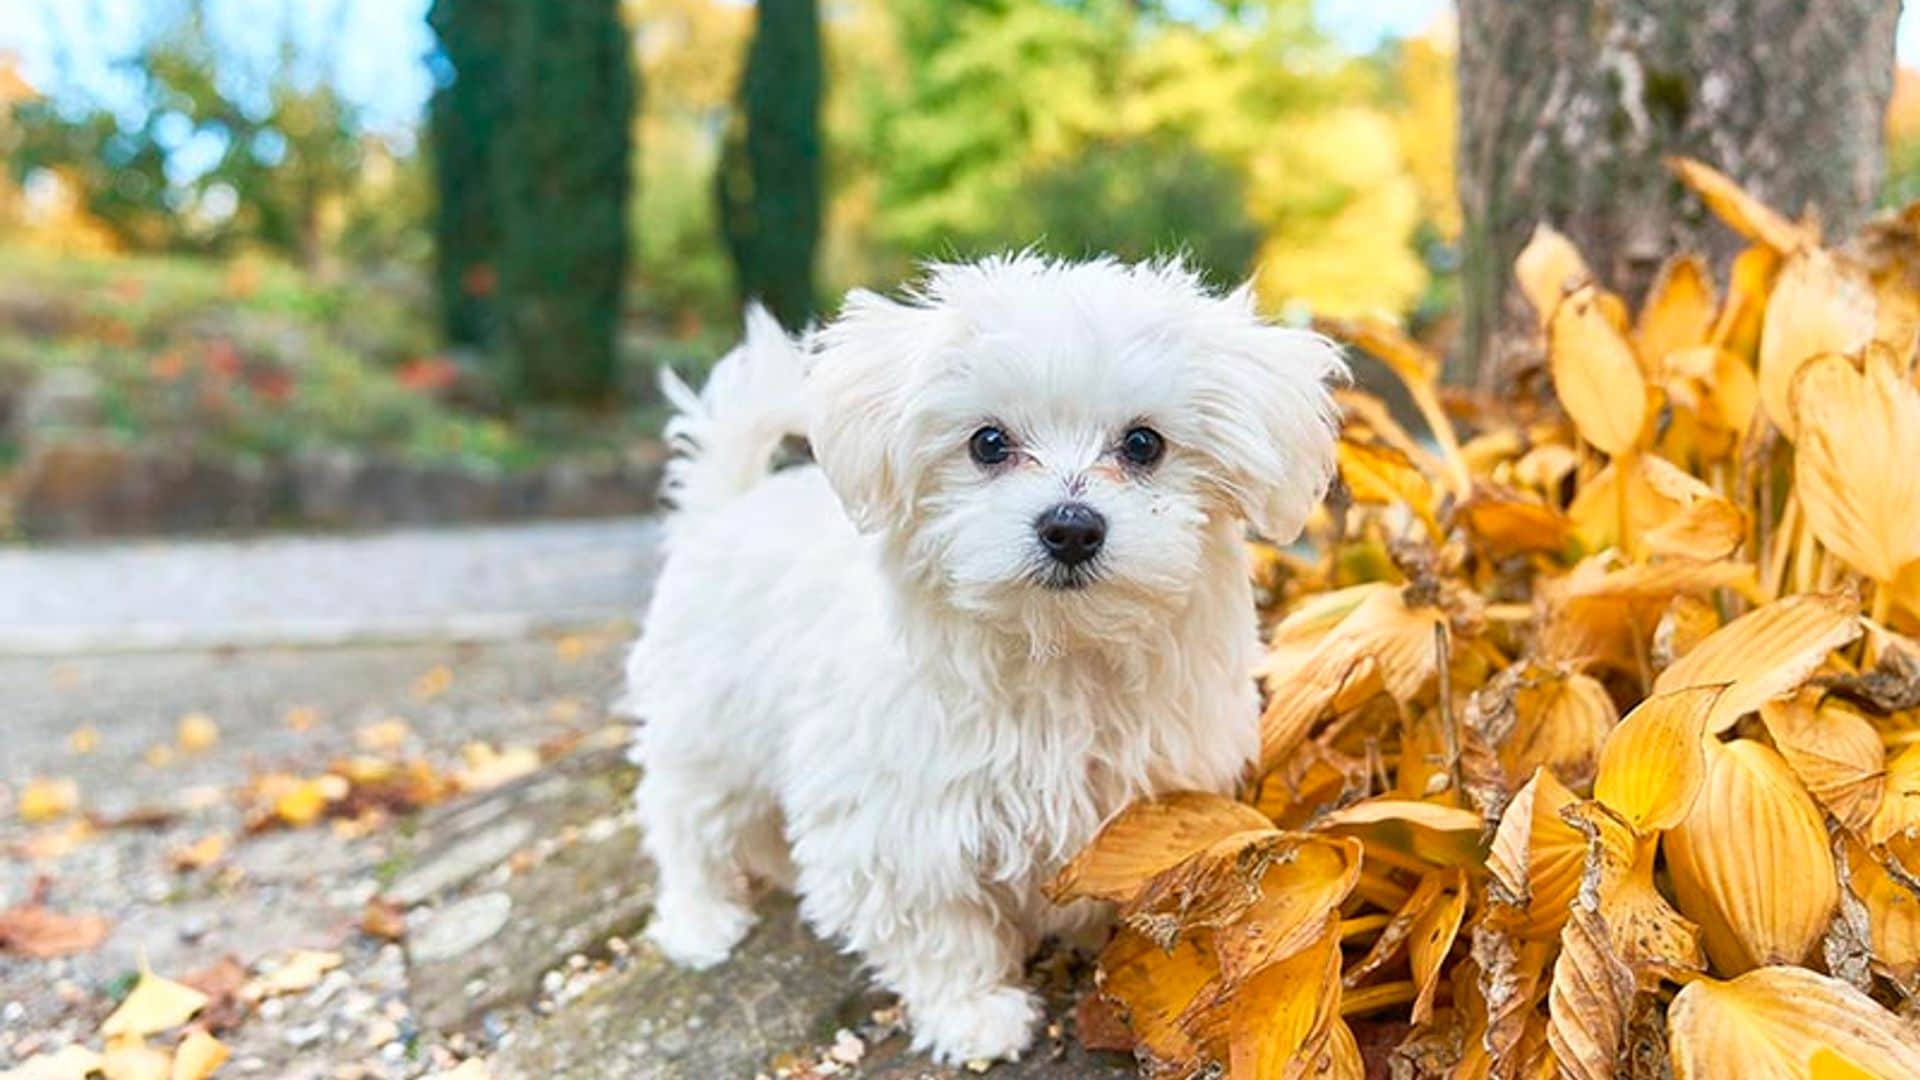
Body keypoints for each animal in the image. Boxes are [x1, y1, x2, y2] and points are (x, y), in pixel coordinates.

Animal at [622, 253, 1344, 1060]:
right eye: (988, 443)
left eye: (1144, 445)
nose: (1071, 527)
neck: (1057, 654)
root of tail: (725, 507)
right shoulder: (899, 824)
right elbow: (938, 927)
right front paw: (974, 1013)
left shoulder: (1148, 800)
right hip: (707, 730)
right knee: (683, 818)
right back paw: (700, 920)